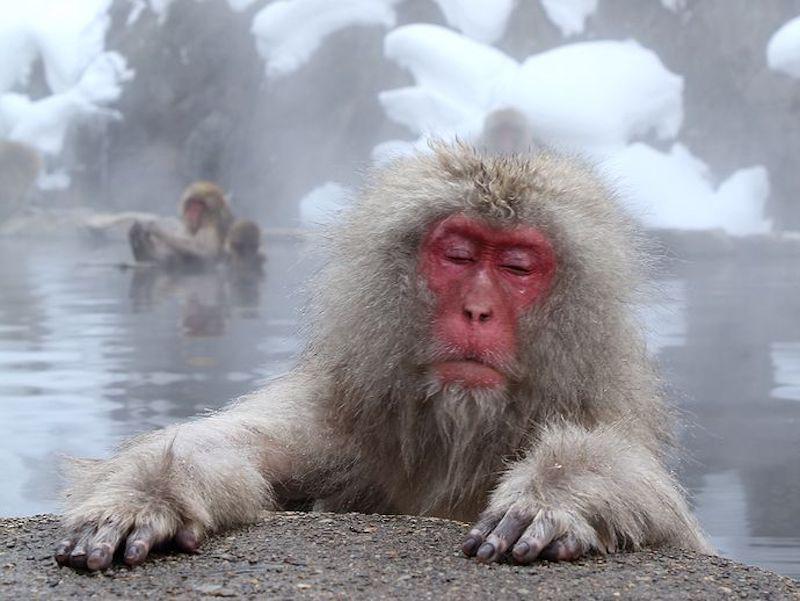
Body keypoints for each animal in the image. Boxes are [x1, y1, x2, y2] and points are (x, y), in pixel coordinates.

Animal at [54, 142, 712, 572]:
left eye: (517, 267)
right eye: (458, 255)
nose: (478, 310)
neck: (459, 440)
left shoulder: (602, 412)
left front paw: (555, 493)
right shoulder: (341, 423)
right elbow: (231, 446)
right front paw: (146, 497)